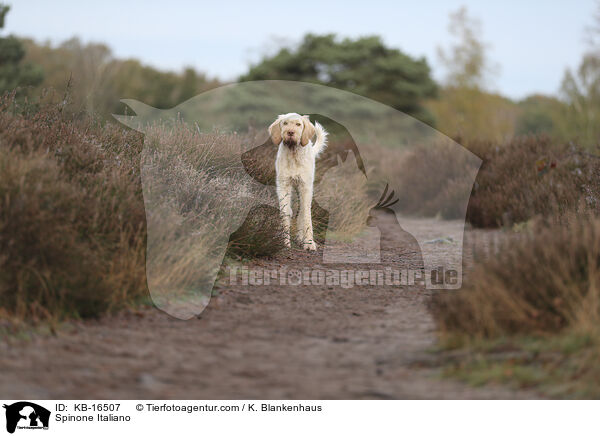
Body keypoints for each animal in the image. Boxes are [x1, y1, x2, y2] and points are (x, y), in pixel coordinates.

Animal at [270, 112, 328, 250]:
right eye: (285, 123)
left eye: (298, 124)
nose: (290, 132)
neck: (293, 154)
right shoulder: (283, 185)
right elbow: (285, 211)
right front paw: (285, 242)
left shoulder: (305, 187)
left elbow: (306, 214)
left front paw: (309, 243)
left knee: (302, 211)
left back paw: (301, 238)